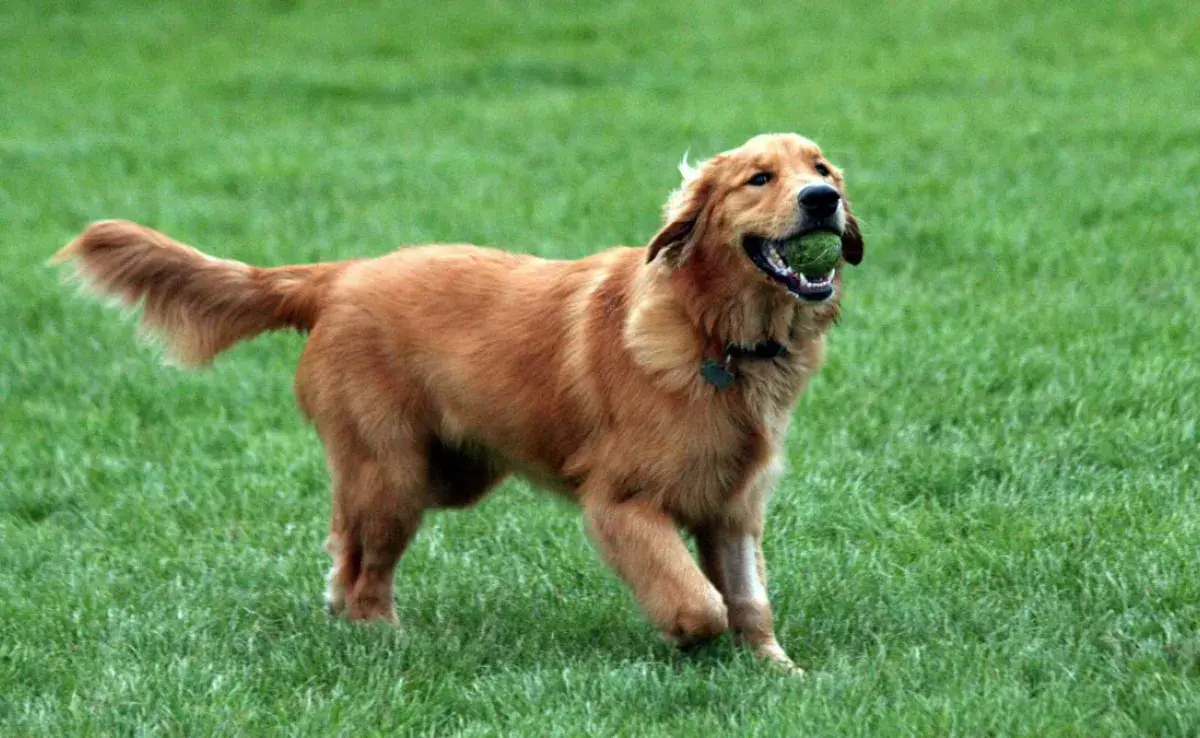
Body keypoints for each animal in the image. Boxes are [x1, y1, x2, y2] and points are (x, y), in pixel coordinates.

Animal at [56, 134, 864, 676]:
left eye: (821, 169)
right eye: (760, 178)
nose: (823, 200)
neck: (717, 335)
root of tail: (339, 275)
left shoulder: (734, 508)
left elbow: (749, 602)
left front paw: (778, 672)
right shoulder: (620, 503)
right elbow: (697, 600)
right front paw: (683, 637)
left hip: (450, 473)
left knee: (344, 545)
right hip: (396, 472)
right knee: (366, 570)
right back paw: (383, 637)